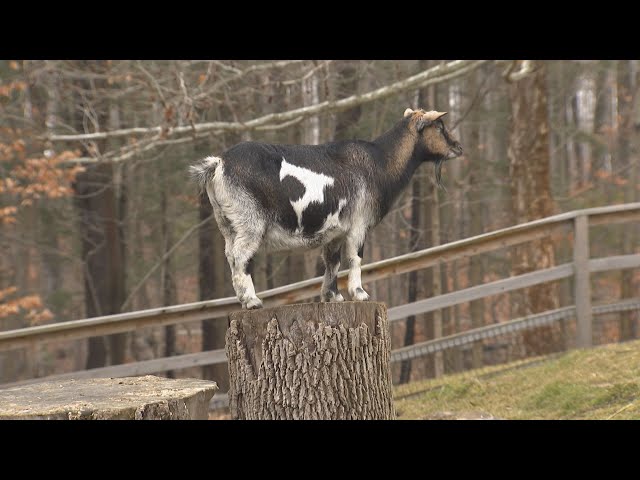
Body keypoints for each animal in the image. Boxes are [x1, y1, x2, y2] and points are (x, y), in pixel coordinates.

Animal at [188, 107, 462, 310]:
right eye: (439, 126)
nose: (458, 147)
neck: (380, 162)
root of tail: (218, 164)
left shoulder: (336, 232)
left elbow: (332, 261)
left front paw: (333, 296)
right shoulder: (358, 224)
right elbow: (355, 258)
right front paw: (359, 293)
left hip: (227, 223)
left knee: (230, 255)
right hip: (249, 220)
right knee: (241, 256)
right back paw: (252, 301)